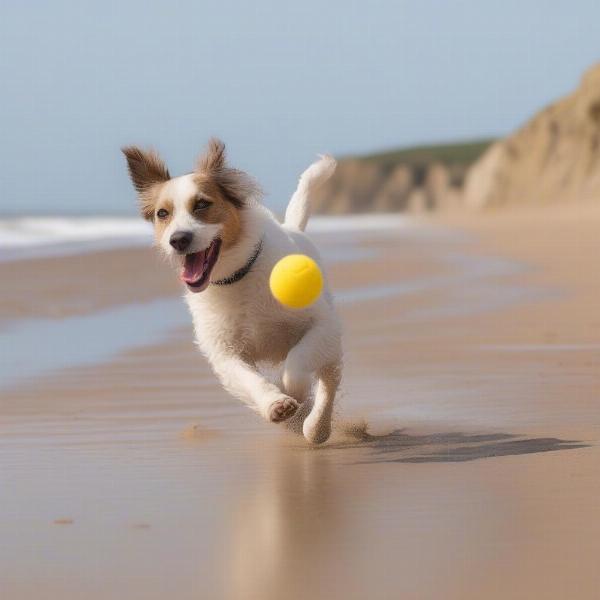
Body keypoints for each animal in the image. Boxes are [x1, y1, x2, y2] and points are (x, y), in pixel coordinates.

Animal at [122, 138, 342, 442]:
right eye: (162, 214)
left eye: (202, 204)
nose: (178, 240)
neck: (238, 277)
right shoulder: (224, 353)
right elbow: (248, 379)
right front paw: (276, 403)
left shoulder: (322, 325)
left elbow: (297, 362)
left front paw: (293, 390)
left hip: (330, 346)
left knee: (328, 382)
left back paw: (315, 427)